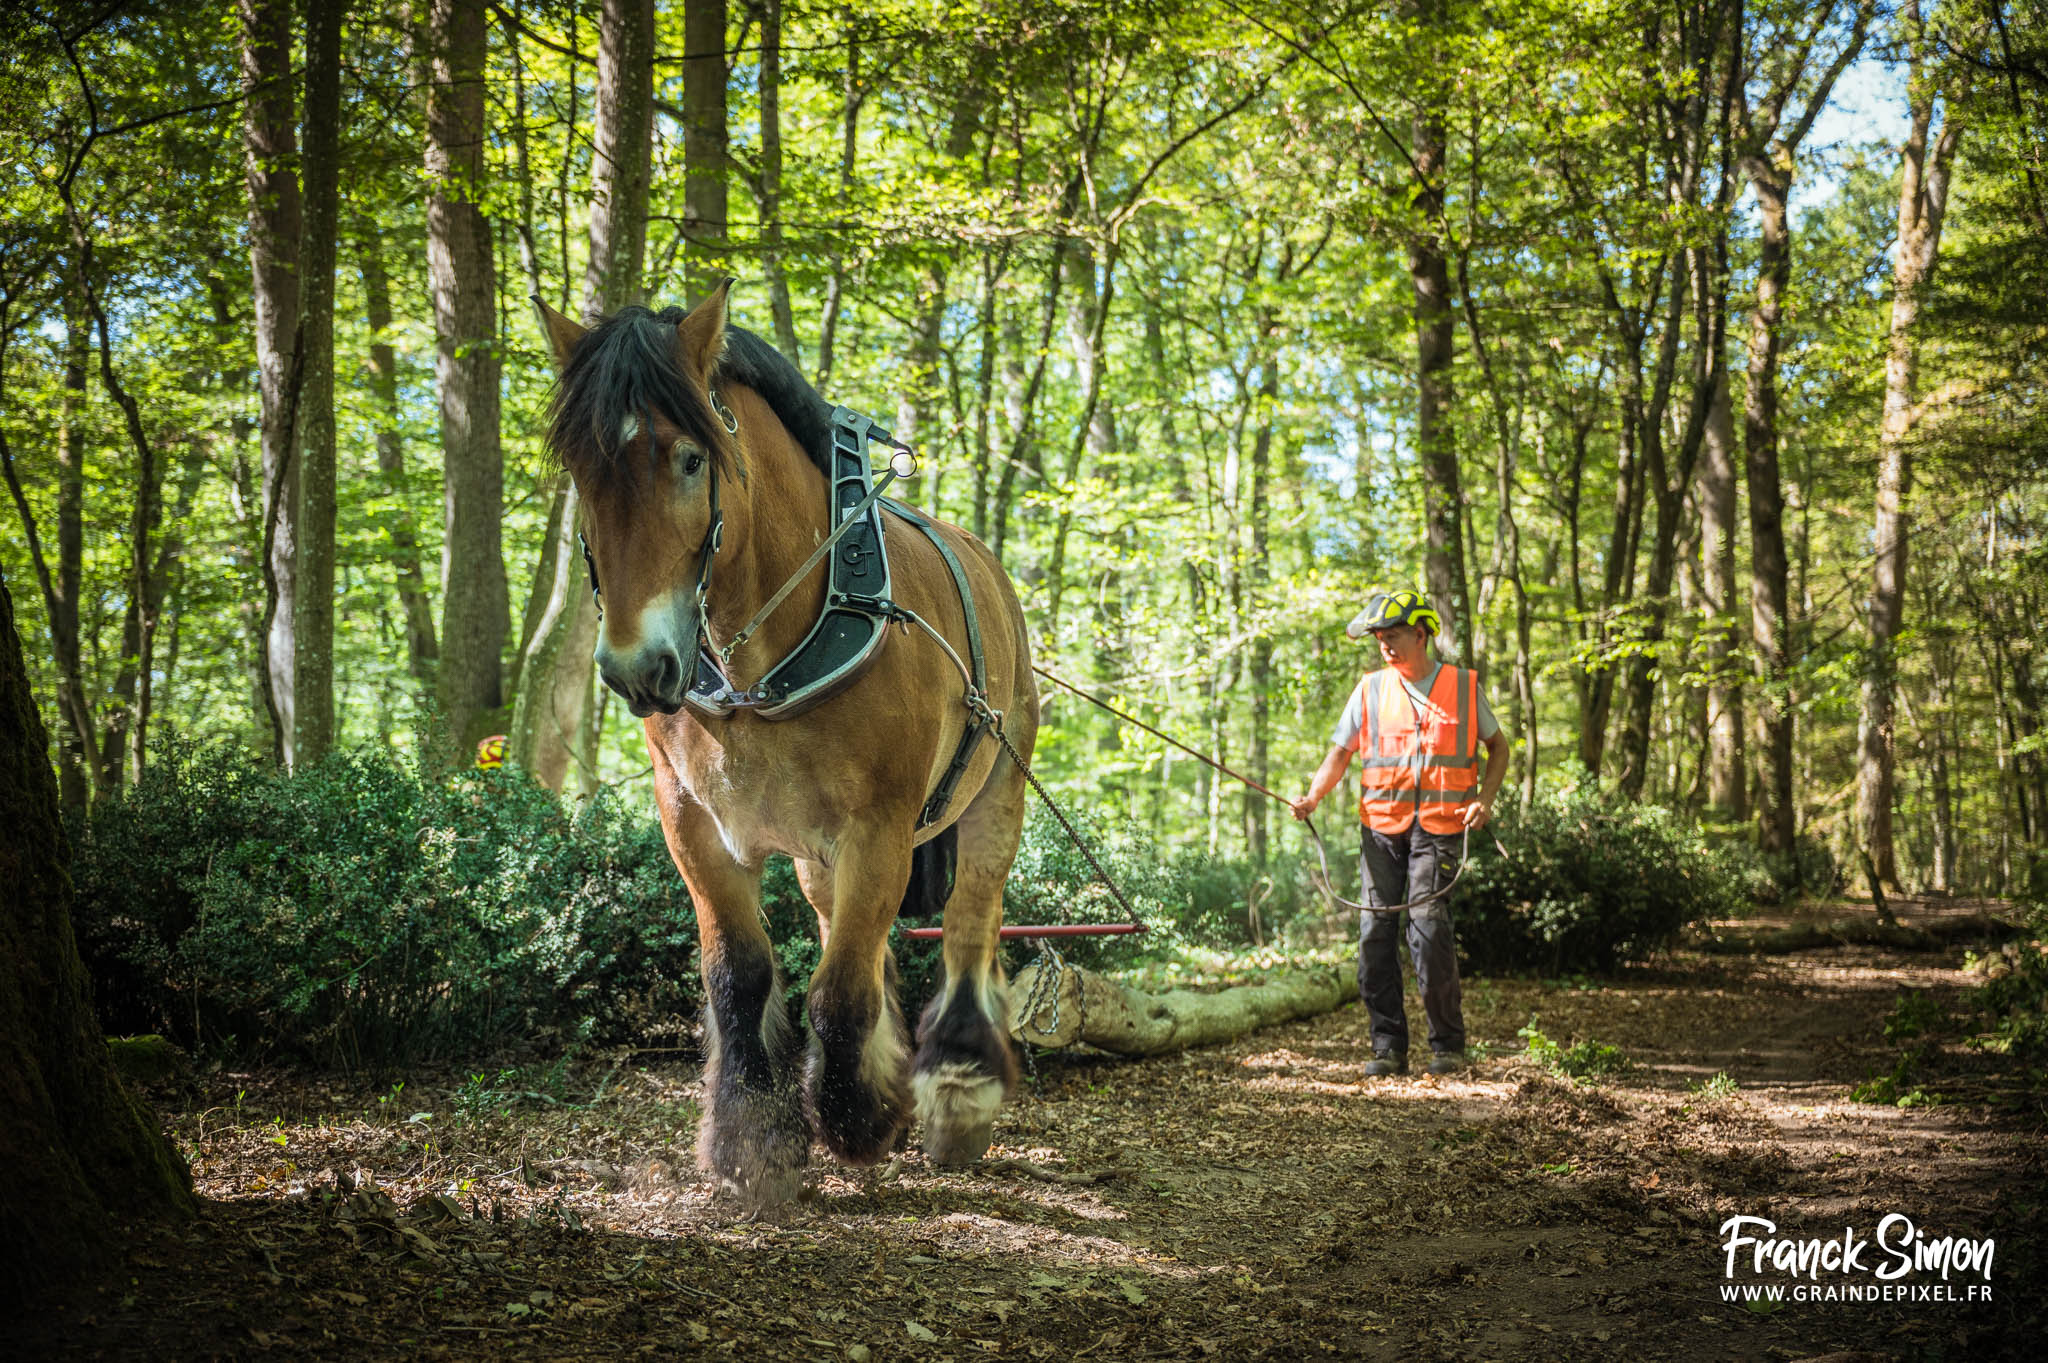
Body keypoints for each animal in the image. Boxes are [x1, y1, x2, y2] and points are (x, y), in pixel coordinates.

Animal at [533, 283, 1037, 1208]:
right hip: (813, 850)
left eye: (689, 460)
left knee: (968, 922)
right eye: (583, 470)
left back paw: (956, 1086)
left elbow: (836, 990)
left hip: (995, 790)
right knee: (849, 927)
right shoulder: (693, 821)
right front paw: (756, 1137)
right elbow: (740, 973)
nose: (636, 668)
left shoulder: (880, 828)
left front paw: (856, 1119)